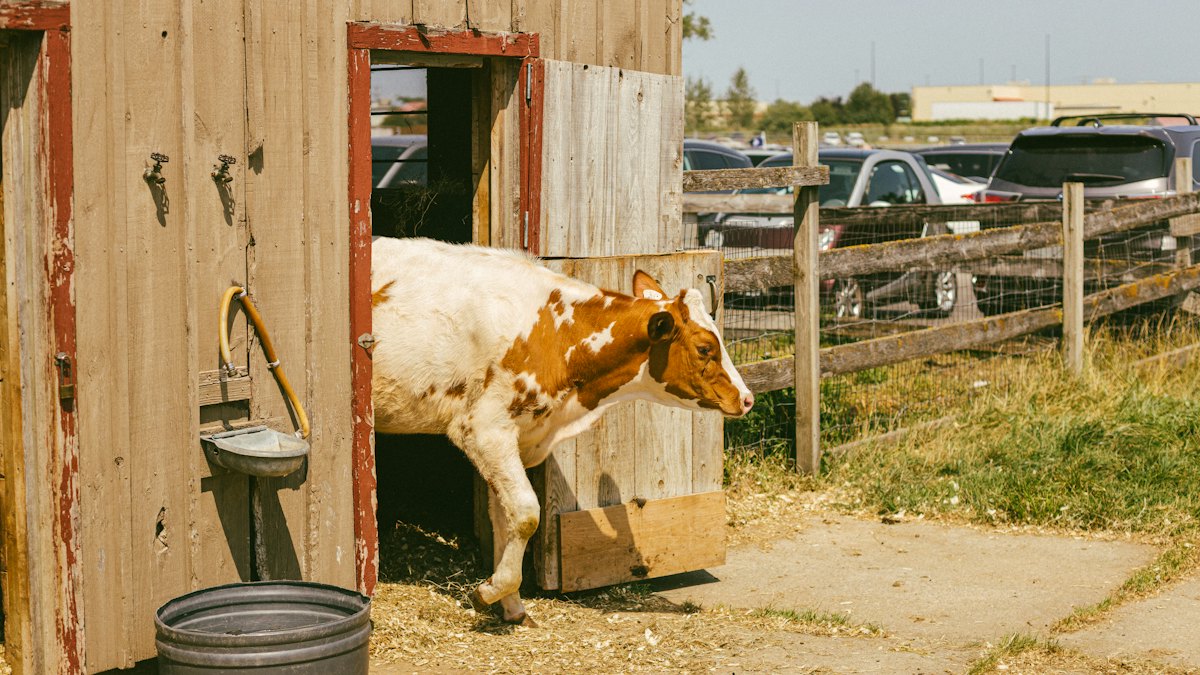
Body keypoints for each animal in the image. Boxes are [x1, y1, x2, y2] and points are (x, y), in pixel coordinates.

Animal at [370, 236, 753, 626]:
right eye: (705, 348)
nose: (747, 398)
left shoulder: (518, 437)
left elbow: (505, 518)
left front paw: (510, 604)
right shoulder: (484, 429)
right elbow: (527, 513)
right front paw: (490, 591)